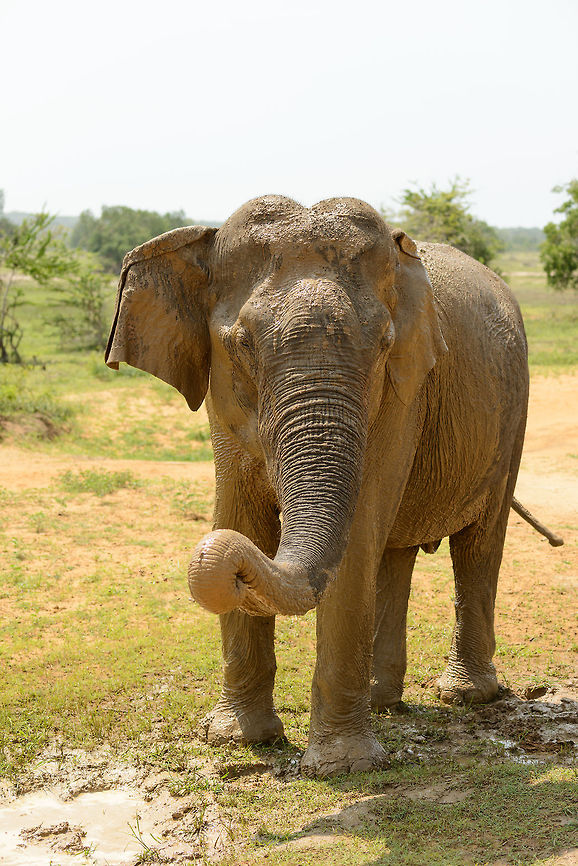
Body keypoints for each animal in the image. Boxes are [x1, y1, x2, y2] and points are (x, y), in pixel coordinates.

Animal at [106, 194, 540, 777]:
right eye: (241, 344)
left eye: (383, 344)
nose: (228, 563)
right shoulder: (225, 406)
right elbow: (239, 516)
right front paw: (237, 741)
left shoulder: (402, 392)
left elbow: (354, 538)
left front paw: (342, 767)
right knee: (395, 554)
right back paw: (383, 702)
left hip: (512, 418)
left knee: (477, 545)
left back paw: (466, 696)